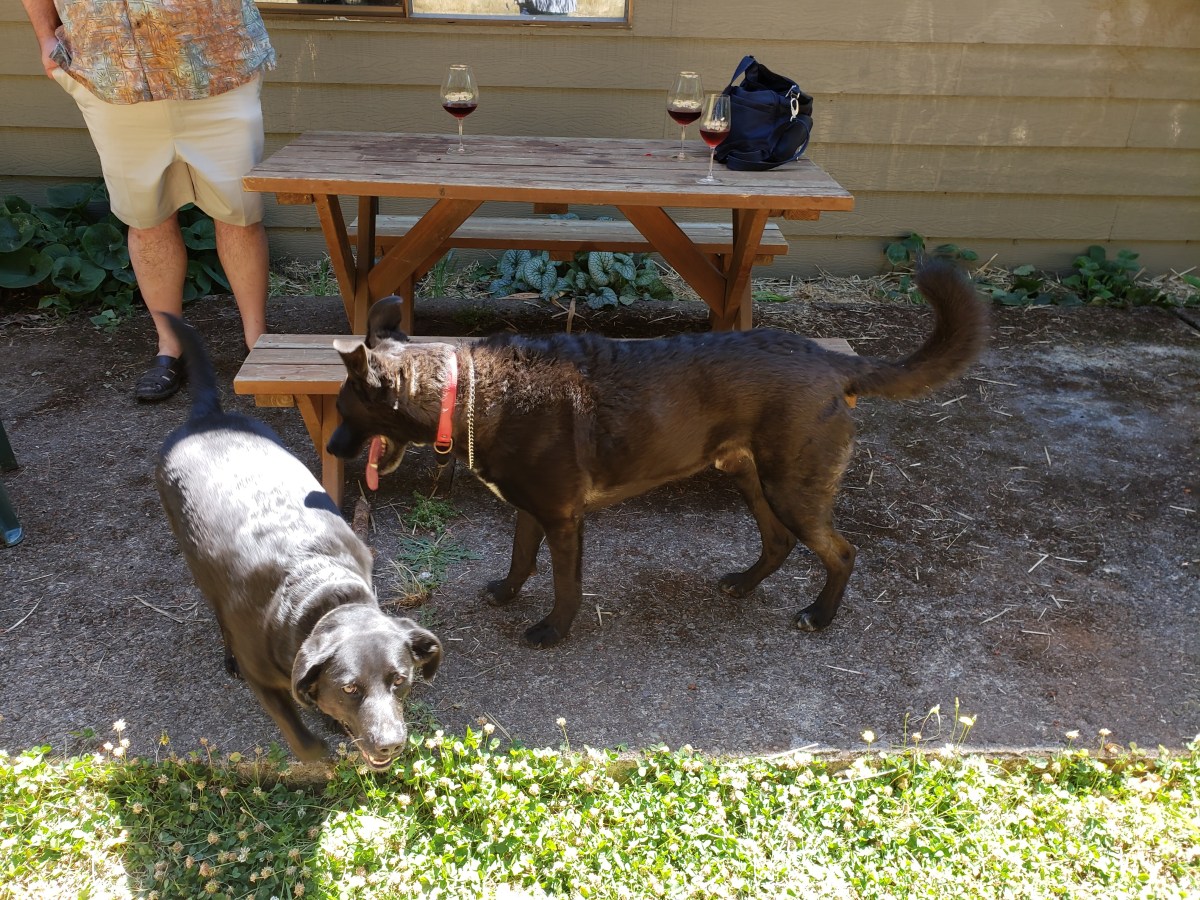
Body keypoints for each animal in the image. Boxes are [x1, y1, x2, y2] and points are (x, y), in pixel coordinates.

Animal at [155, 315, 442, 767]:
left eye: (400, 680)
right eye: (349, 687)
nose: (390, 743)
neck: (318, 593)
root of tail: (207, 416)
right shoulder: (264, 680)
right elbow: (297, 731)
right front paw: (316, 752)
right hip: (195, 559)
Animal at [327, 260, 989, 648]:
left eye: (346, 411)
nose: (330, 448)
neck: (464, 392)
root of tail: (830, 360)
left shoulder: (564, 518)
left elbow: (566, 584)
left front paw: (553, 630)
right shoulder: (531, 509)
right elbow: (520, 558)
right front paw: (508, 593)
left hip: (792, 486)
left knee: (841, 553)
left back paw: (819, 616)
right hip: (750, 476)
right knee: (777, 542)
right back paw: (744, 583)